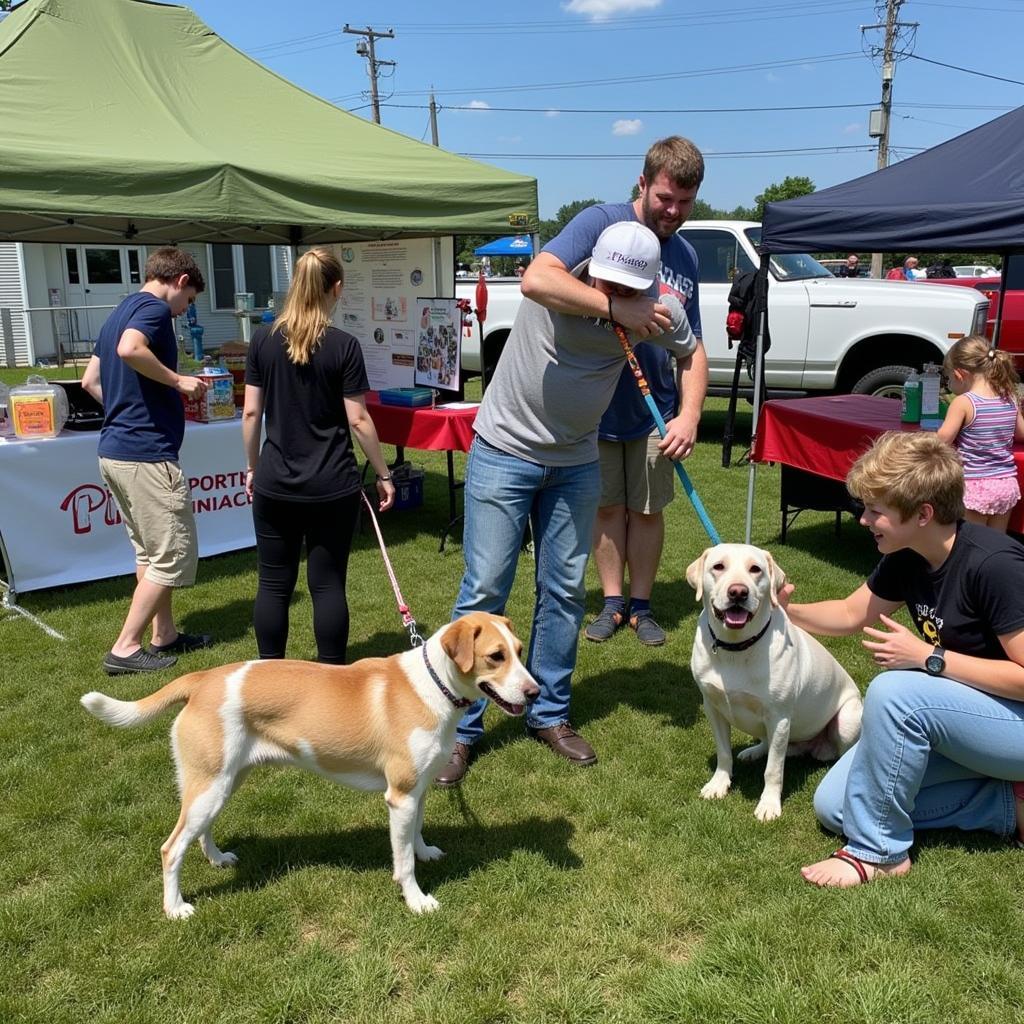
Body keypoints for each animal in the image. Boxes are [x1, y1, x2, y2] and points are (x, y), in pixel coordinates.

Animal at [81, 614, 536, 921]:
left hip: (220, 781)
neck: (431, 687)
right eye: (495, 657)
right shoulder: (400, 796)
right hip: (210, 785)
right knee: (171, 848)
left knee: (200, 831)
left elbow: (417, 835)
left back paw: (217, 859)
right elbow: (402, 860)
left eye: (519, 651)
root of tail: (203, 678)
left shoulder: (417, 789)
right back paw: (175, 908)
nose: (534, 692)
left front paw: (424, 851)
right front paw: (417, 900)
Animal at [688, 544, 864, 823]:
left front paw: (769, 805)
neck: (736, 647)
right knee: (771, 745)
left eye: (755, 569)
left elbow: (773, 769)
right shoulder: (712, 706)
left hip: (847, 719)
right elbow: (724, 752)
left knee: (835, 750)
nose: (738, 592)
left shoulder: (779, 717)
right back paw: (754, 752)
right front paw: (719, 784)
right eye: (718, 566)